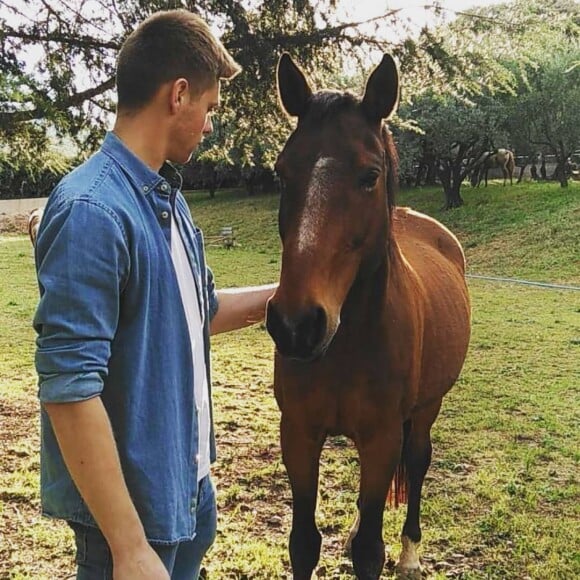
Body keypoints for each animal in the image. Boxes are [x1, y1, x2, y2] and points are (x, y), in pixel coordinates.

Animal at [266, 52, 472, 576]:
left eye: (369, 175)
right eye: (281, 173)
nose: (297, 325)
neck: (347, 345)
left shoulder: (382, 439)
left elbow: (369, 552)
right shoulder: (298, 434)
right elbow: (303, 542)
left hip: (425, 410)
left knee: (417, 463)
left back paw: (411, 552)